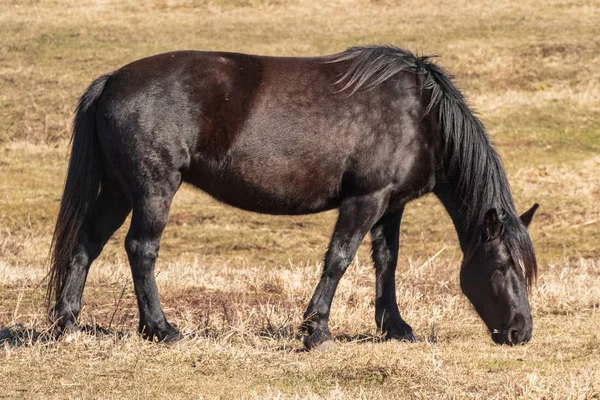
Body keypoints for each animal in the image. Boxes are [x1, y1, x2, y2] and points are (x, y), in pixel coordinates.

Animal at [48, 45, 540, 348]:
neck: (420, 115)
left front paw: (394, 327)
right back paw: (160, 329)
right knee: (141, 249)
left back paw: (66, 323)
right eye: (501, 266)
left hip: (118, 191)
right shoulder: (366, 199)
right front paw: (316, 330)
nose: (521, 331)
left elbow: (387, 262)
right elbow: (339, 259)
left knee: (86, 245)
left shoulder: (391, 205)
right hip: (153, 190)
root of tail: (111, 80)